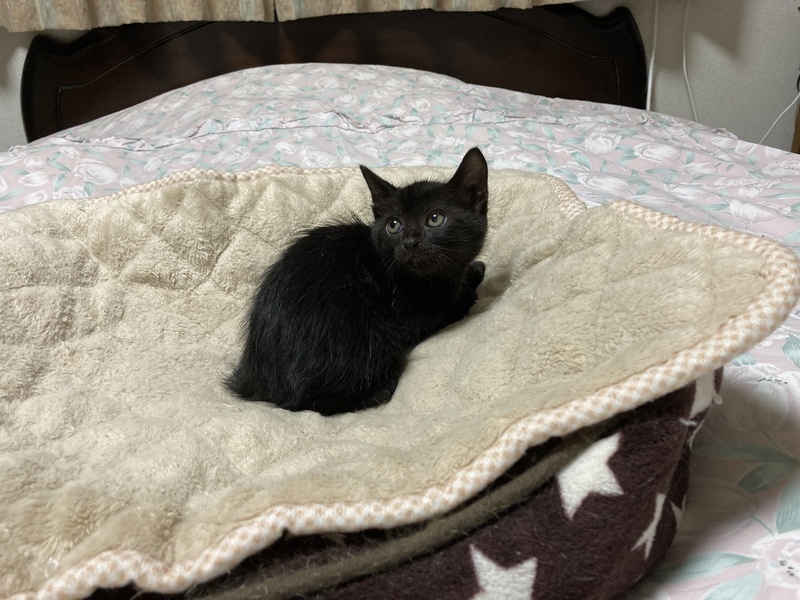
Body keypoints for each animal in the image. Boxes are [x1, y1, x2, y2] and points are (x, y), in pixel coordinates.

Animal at [225, 148, 489, 415]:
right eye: (394, 225)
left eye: (435, 219)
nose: (410, 242)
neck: (429, 279)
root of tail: (263, 388)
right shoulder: (410, 320)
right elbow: (448, 310)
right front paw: (468, 290)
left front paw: (473, 270)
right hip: (374, 335)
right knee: (315, 404)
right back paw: (380, 391)